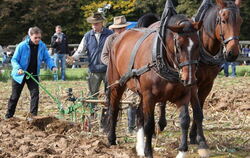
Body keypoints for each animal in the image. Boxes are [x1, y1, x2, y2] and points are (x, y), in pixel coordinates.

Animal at [105, 12, 203, 158]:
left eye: (197, 45)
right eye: (179, 46)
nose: (189, 79)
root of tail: (119, 37)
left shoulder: (183, 96)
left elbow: (185, 120)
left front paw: (182, 151)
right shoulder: (149, 97)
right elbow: (149, 125)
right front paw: (148, 152)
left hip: (141, 93)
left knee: (139, 114)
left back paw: (139, 148)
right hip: (116, 84)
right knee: (114, 108)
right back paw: (112, 139)